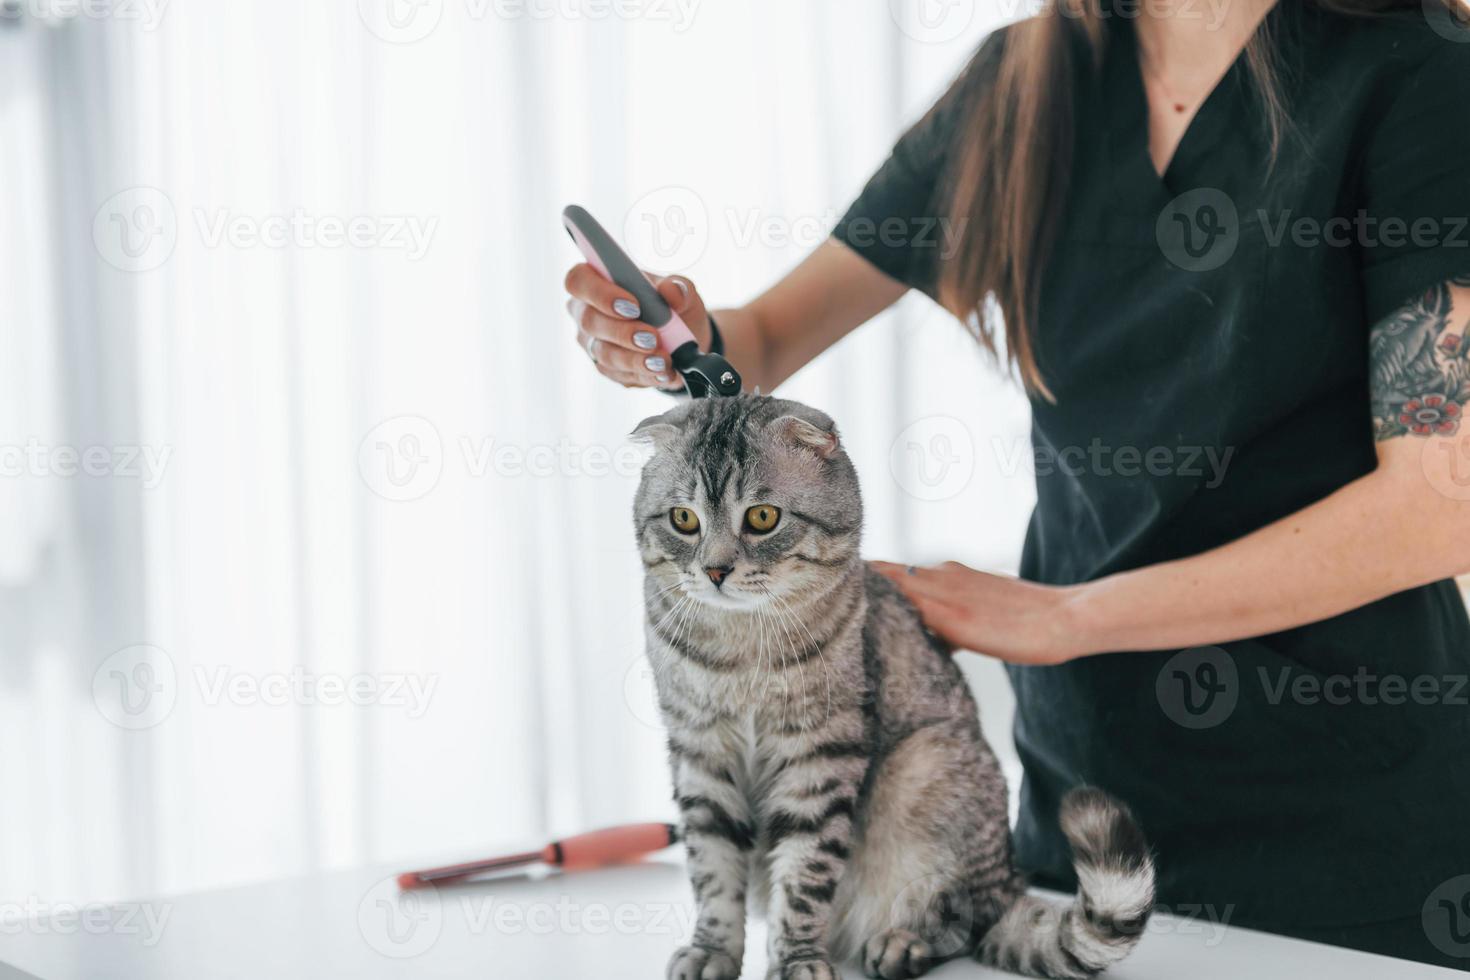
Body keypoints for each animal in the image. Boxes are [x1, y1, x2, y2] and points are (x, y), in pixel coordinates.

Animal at [637, 393, 1152, 975]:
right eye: (683, 519)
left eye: (762, 518)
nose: (716, 570)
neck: (740, 644)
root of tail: (1009, 883)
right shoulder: (699, 753)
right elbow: (714, 869)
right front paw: (712, 950)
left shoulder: (821, 757)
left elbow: (804, 876)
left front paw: (796, 960)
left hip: (923, 770)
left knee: (963, 921)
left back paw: (902, 943)